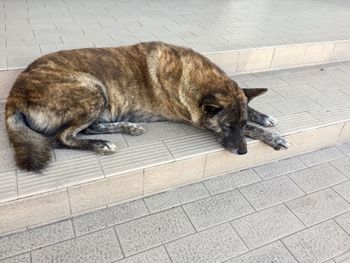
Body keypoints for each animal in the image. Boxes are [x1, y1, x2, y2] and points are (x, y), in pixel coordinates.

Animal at [5, 41, 288, 172]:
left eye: (239, 123)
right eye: (227, 126)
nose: (243, 153)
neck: (192, 75)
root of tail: (15, 93)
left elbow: (249, 111)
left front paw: (263, 117)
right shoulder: (198, 120)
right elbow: (251, 130)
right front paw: (272, 137)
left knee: (88, 128)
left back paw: (128, 127)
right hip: (92, 88)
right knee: (61, 137)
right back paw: (101, 145)